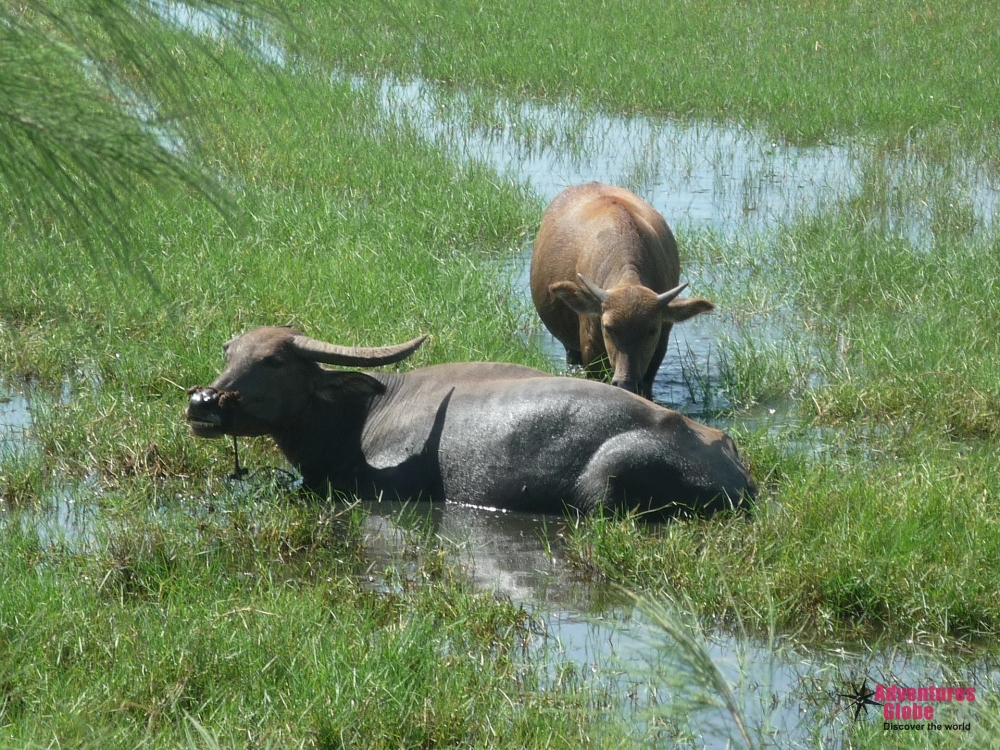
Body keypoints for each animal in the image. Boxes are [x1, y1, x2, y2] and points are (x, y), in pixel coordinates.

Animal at [186, 326, 756, 520]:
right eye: (229, 351)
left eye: (275, 361)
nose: (202, 401)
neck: (359, 420)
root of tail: (730, 466)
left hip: (607, 483)